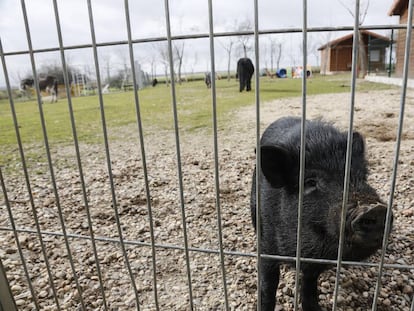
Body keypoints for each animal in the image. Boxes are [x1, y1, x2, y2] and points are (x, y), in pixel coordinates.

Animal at [251, 117, 390, 311]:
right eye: (310, 182)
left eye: (362, 177)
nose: (375, 209)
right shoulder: (266, 246)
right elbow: (268, 285)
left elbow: (310, 281)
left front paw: (314, 308)